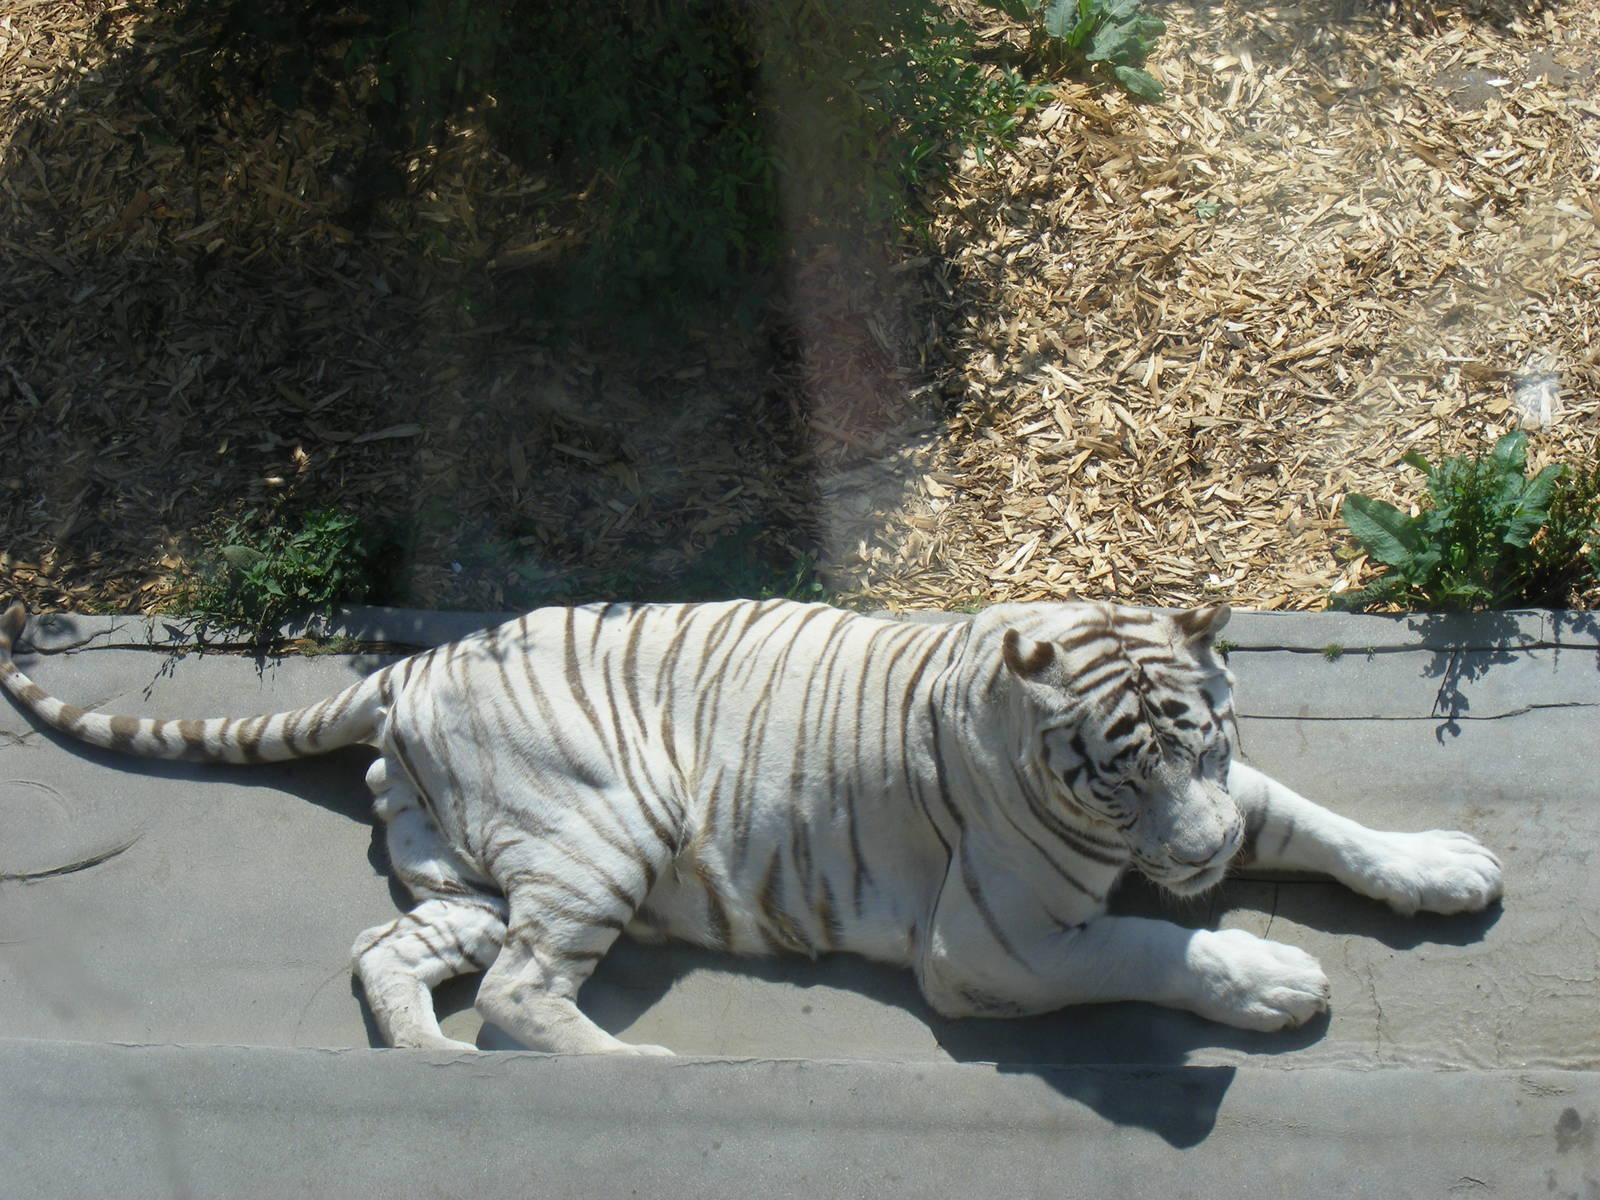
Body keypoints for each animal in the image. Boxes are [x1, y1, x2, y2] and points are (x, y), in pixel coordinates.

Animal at [0, 597, 1502, 1054]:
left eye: (1202, 744)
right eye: (1112, 779)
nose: (1195, 861)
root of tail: (408, 667)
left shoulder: (1238, 797)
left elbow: (1326, 826)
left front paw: (1446, 867)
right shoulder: (993, 949)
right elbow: (1152, 951)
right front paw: (1271, 977)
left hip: (475, 871)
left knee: (396, 955)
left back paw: (428, 1058)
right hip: (602, 829)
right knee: (525, 999)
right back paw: (633, 1070)